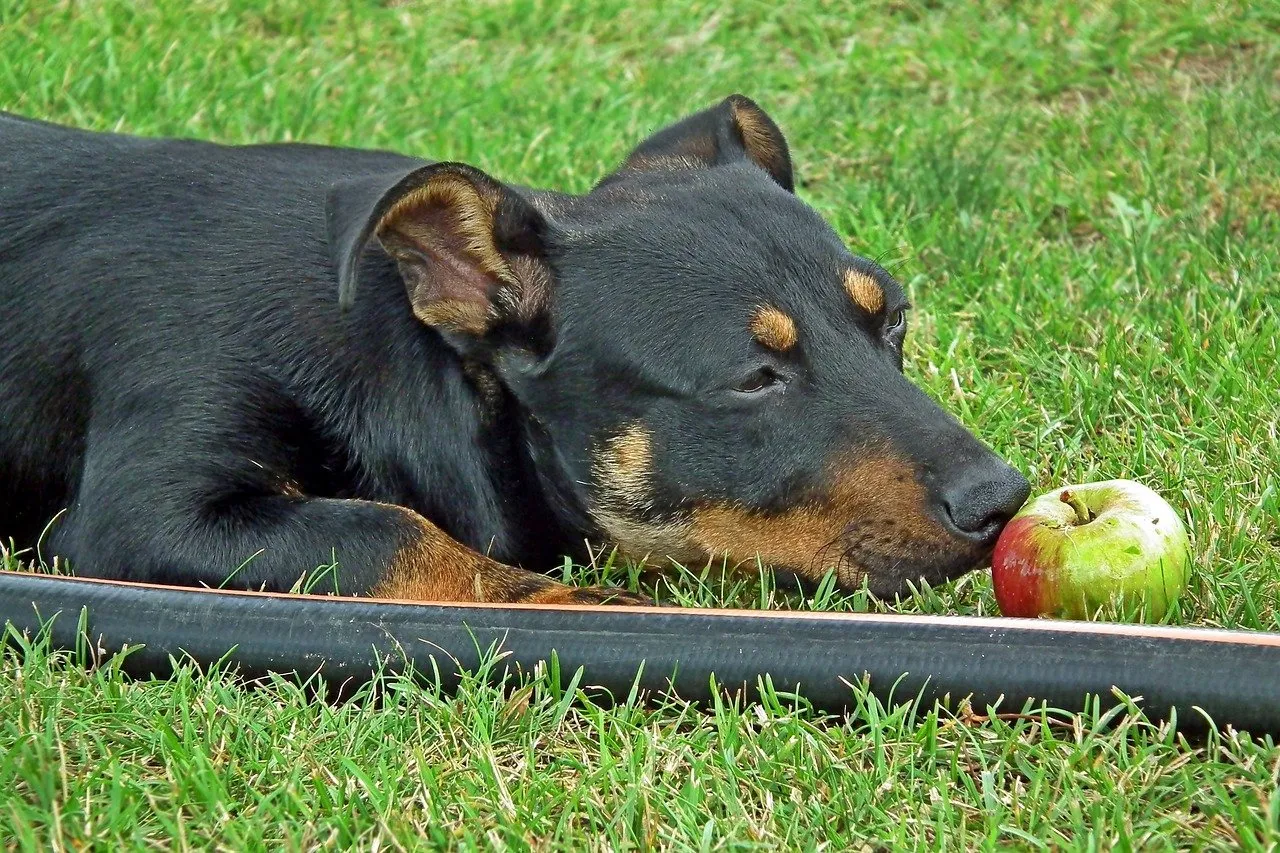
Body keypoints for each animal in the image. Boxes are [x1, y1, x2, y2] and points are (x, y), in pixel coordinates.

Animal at [0, 96, 1029, 604]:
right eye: (754, 379)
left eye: (893, 322)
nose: (1003, 500)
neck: (403, 356)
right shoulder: (139, 512)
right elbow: (394, 532)